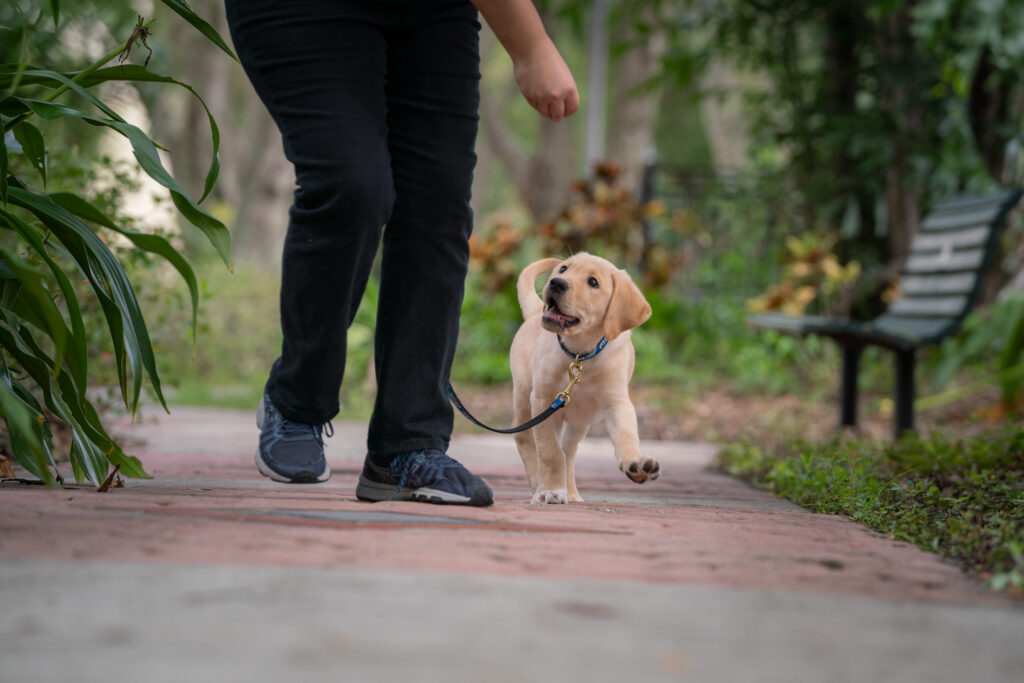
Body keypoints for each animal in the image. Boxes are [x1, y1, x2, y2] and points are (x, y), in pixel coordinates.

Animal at [509, 253, 655, 505]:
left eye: (593, 282)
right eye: (563, 269)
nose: (556, 282)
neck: (580, 354)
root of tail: (535, 313)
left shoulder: (617, 402)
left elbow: (626, 434)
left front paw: (635, 464)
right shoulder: (543, 399)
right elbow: (549, 451)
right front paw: (550, 490)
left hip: (579, 422)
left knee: (568, 450)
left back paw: (571, 493)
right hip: (524, 396)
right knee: (527, 439)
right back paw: (539, 485)